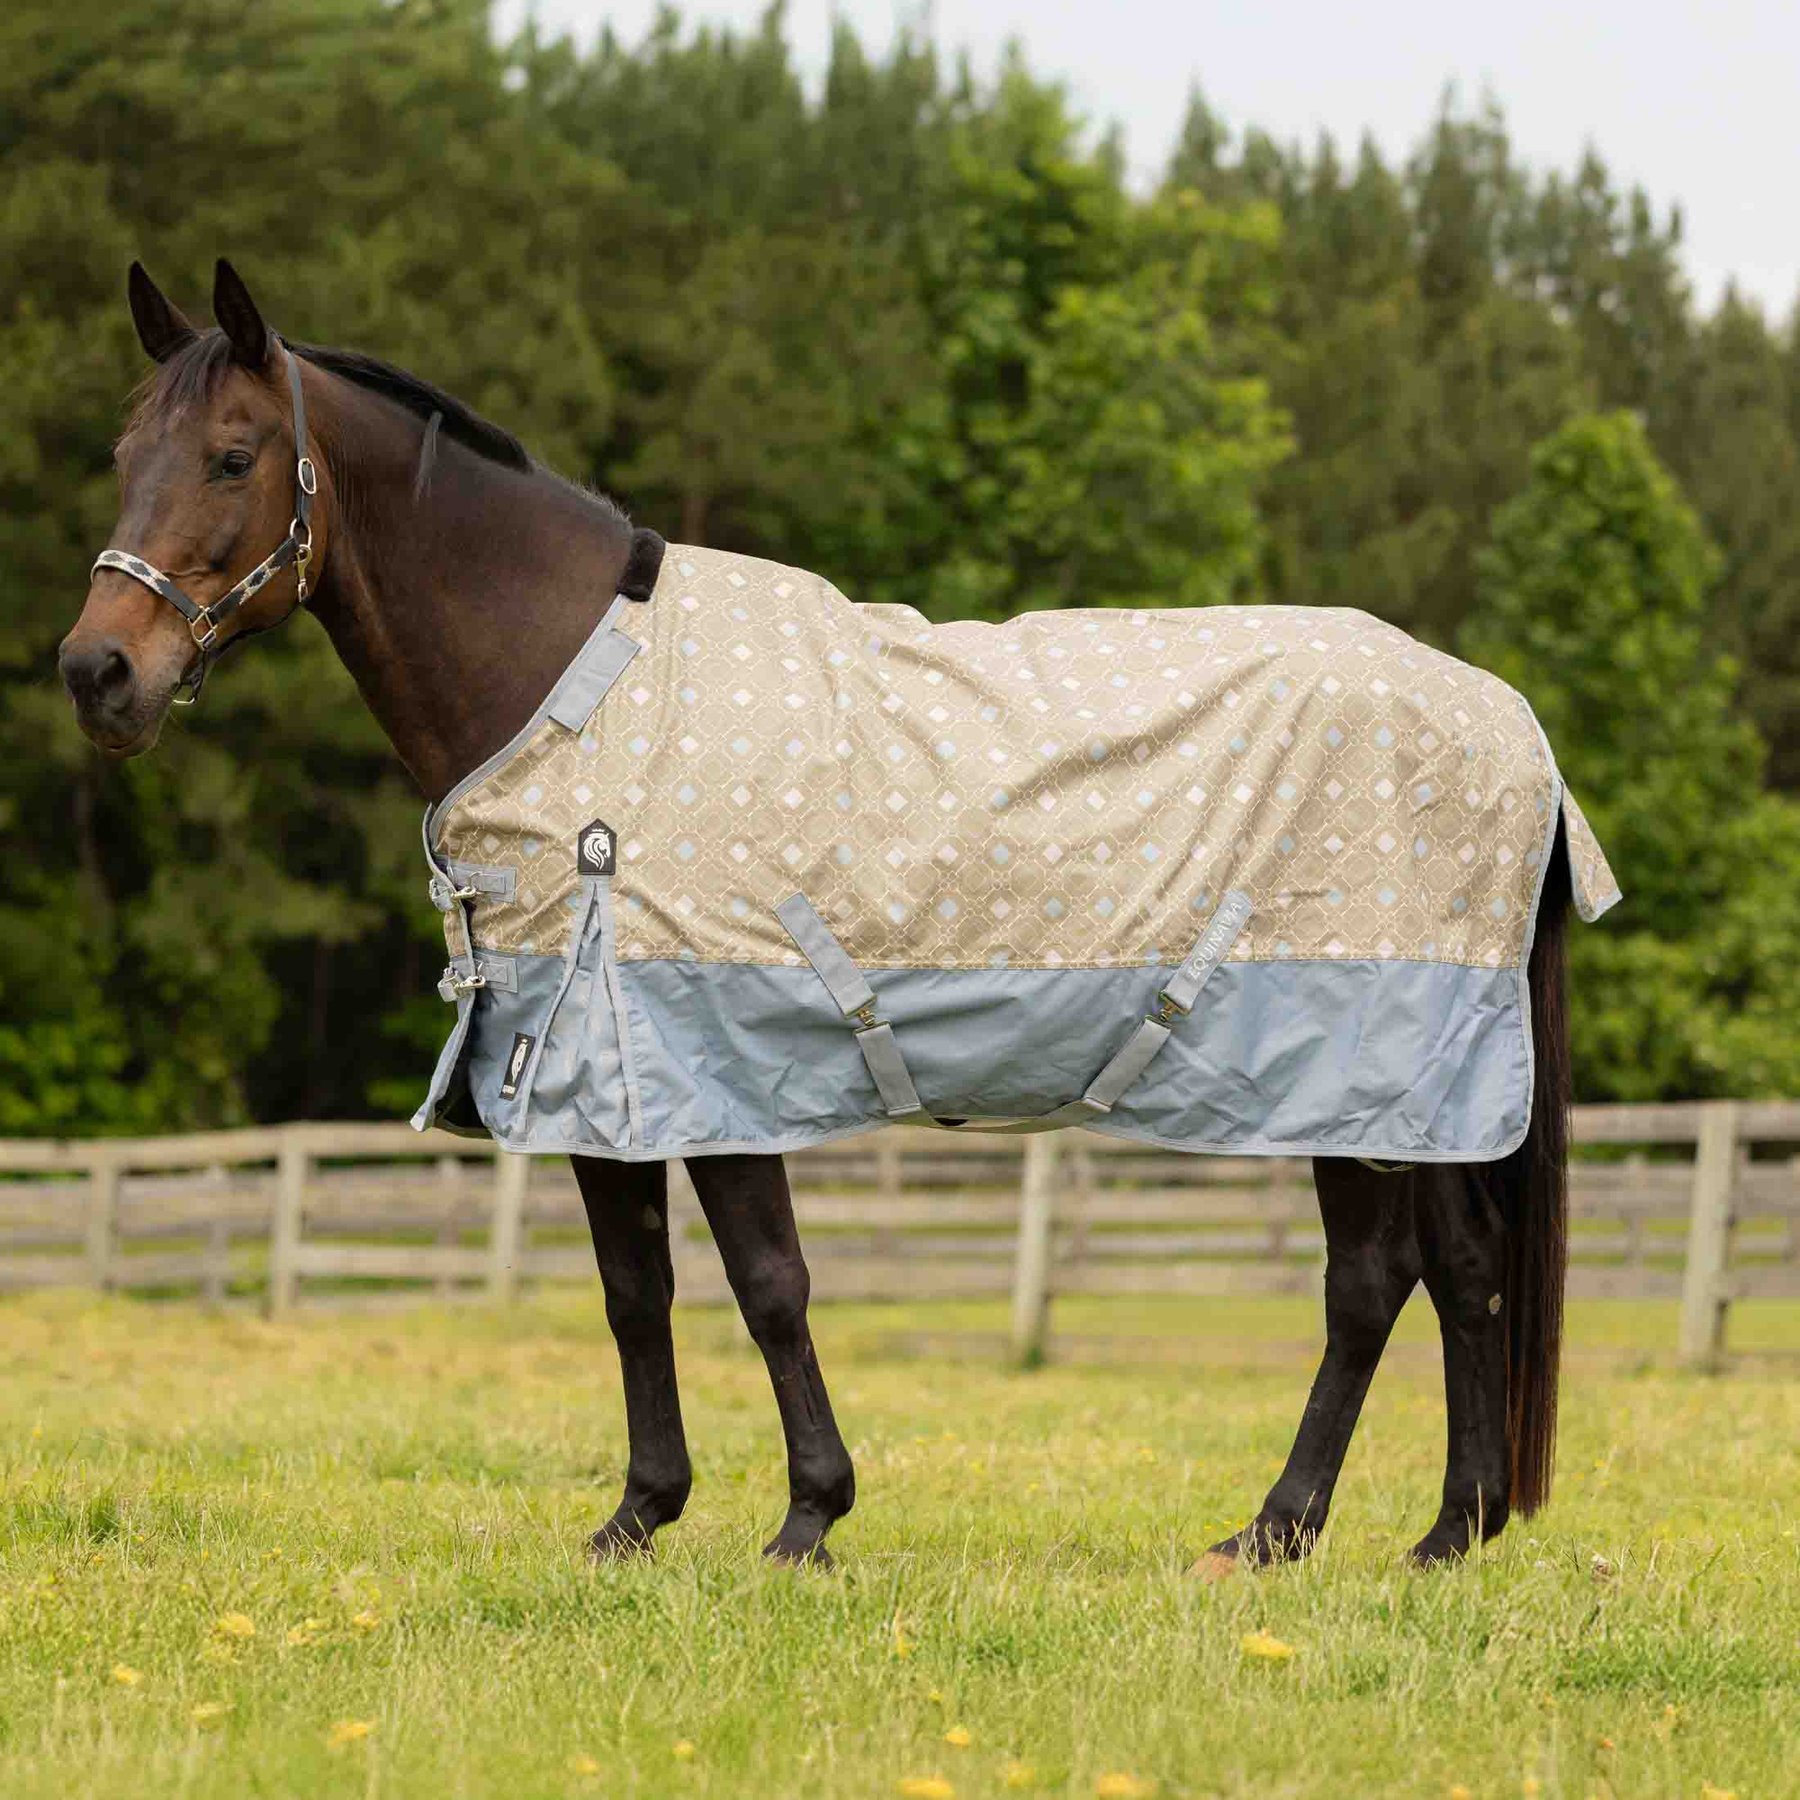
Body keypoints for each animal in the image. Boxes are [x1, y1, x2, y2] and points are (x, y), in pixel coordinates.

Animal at [60, 259, 1579, 1574]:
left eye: (235, 457)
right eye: (127, 455)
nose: (98, 672)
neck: (581, 687)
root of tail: (1508, 720)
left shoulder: (717, 1059)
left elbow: (769, 1283)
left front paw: (808, 1519)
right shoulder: (600, 1063)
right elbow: (635, 1293)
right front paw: (637, 1519)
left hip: (1363, 1074)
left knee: (1379, 1281)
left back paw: (1284, 1535)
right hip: (1406, 1095)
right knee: (1455, 1272)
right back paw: (1436, 1535)